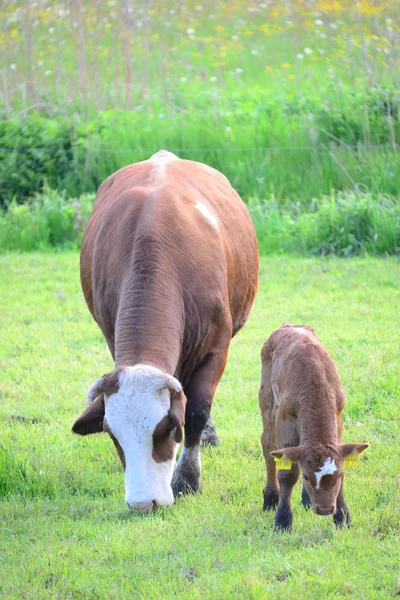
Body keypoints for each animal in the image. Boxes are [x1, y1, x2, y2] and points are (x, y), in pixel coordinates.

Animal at [72, 149, 260, 510]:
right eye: (112, 435)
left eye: (165, 430)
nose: (143, 503)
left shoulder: (217, 346)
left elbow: (197, 408)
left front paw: (187, 478)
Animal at [260, 326, 368, 532]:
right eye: (307, 477)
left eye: (338, 476)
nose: (325, 509)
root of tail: (287, 325)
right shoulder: (285, 420)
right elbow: (288, 472)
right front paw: (283, 520)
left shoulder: (337, 416)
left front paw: (342, 516)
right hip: (267, 401)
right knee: (268, 444)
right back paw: (270, 498)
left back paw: (306, 499)